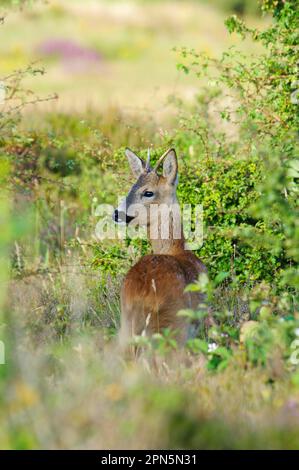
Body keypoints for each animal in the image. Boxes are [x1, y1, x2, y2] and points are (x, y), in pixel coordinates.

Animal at [113, 147, 207, 348]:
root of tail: (141, 292)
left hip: (126, 325)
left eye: (148, 192)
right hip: (172, 326)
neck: (177, 250)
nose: (116, 214)